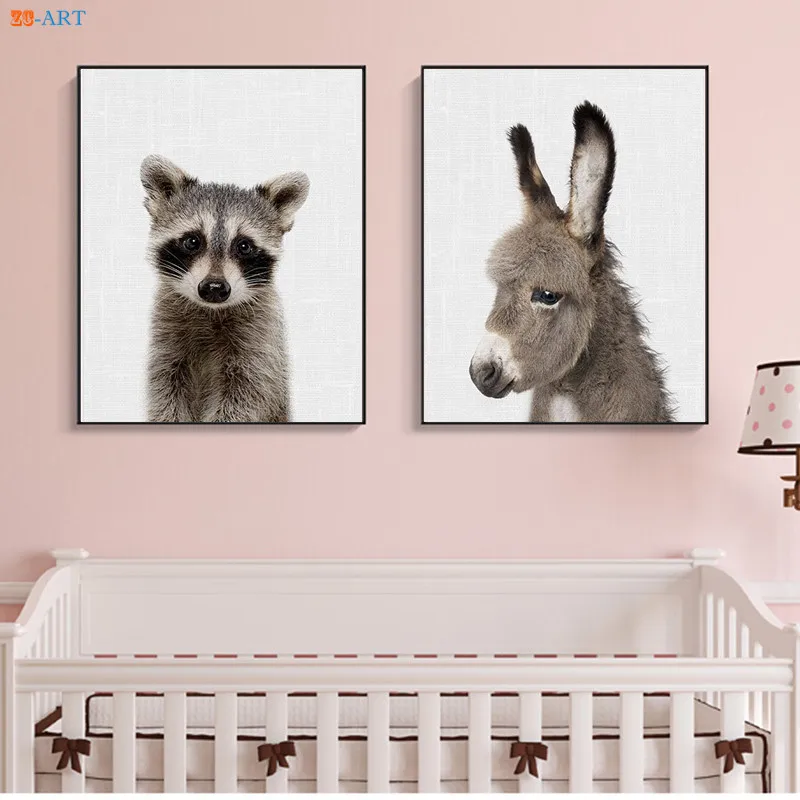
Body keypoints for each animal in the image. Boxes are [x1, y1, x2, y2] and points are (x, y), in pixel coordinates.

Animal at [140, 156, 309, 423]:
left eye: (244, 246)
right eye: (192, 241)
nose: (214, 287)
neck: (210, 310)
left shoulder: (260, 344)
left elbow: (245, 397)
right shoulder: (166, 340)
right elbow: (165, 395)